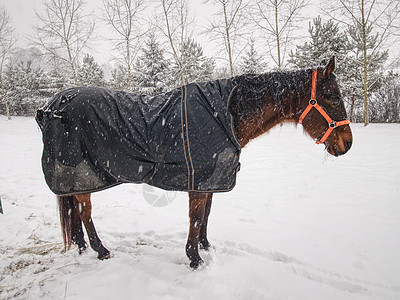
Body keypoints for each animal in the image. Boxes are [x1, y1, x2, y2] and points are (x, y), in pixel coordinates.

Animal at [48, 57, 352, 268]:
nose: (347, 143)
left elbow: (206, 214)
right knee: (84, 212)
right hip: (84, 175)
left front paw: (205, 246)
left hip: (76, 179)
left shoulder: (210, 179)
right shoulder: (199, 179)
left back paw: (82, 247)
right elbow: (196, 217)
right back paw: (101, 250)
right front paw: (194, 258)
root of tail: (53, 105)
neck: (226, 115)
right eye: (332, 97)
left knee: (73, 209)